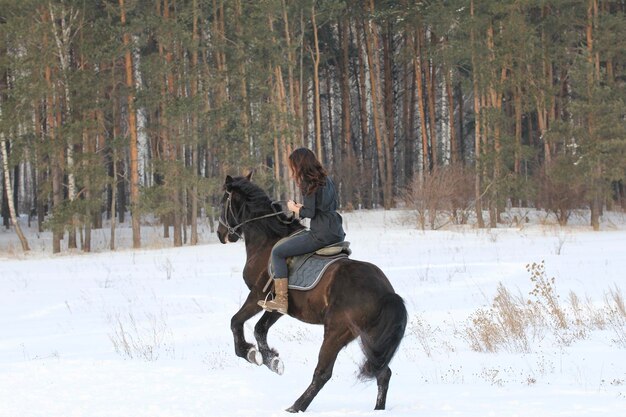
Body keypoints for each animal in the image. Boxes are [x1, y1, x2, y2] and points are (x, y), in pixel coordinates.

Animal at [217, 173, 408, 412]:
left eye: (222, 201)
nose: (221, 234)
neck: (267, 242)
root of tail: (386, 293)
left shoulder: (257, 296)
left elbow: (236, 322)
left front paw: (251, 354)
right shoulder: (277, 306)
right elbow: (260, 329)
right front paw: (272, 361)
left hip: (336, 333)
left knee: (323, 373)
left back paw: (295, 406)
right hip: (371, 338)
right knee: (383, 373)